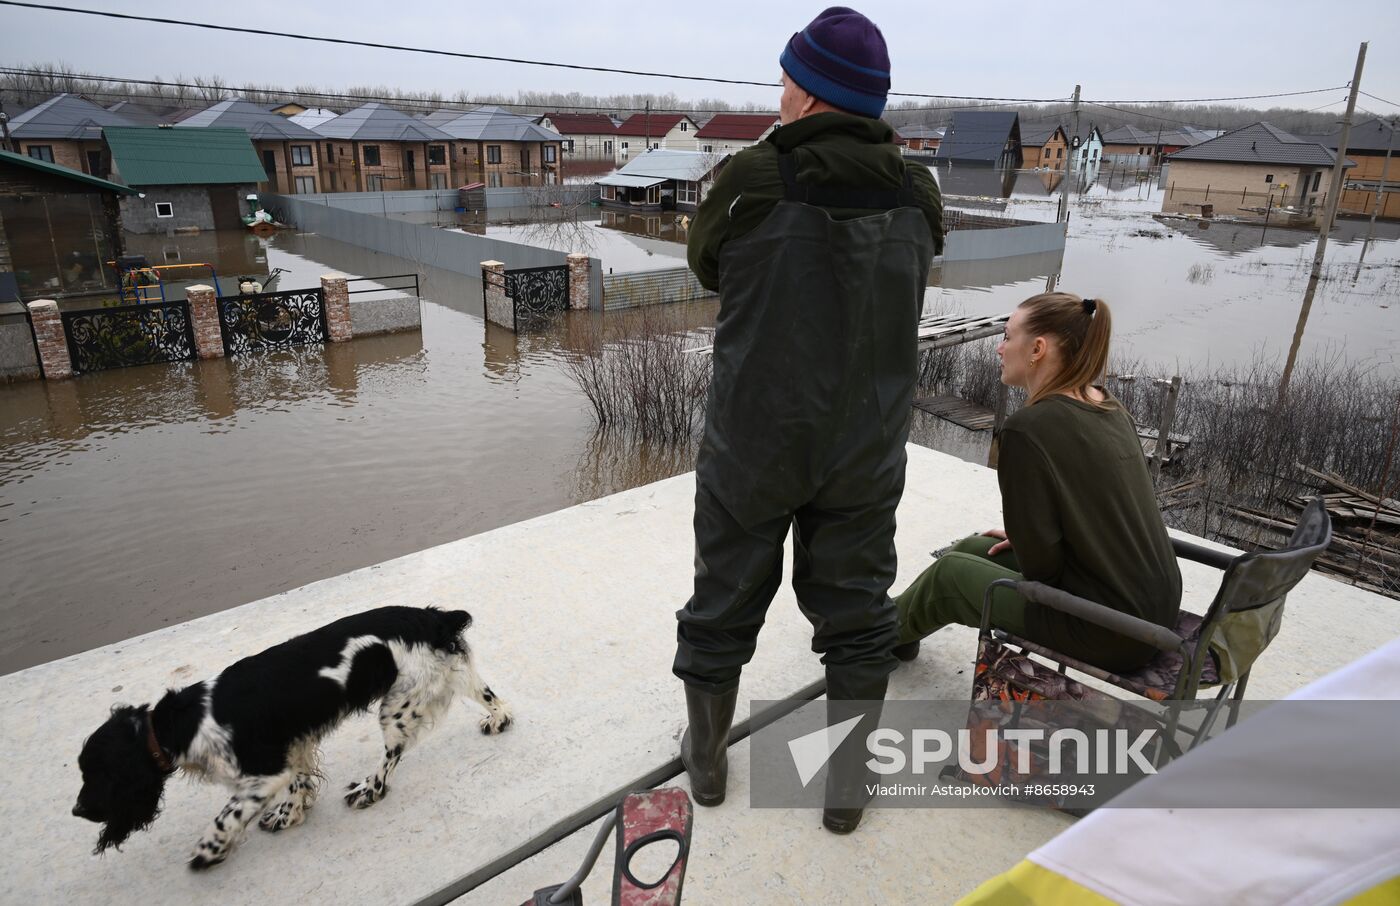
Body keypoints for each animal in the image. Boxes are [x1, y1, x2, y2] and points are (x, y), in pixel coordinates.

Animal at [71, 604, 509, 868]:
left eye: (96, 775)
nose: (76, 810)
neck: (181, 722)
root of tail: (432, 617)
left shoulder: (263, 774)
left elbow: (227, 815)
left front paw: (209, 850)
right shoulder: (292, 747)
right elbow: (299, 783)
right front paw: (289, 815)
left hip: (397, 708)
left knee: (389, 760)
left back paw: (368, 789)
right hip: (442, 675)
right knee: (488, 694)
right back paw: (499, 720)